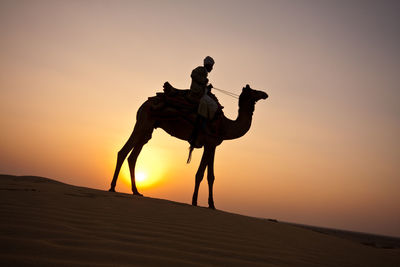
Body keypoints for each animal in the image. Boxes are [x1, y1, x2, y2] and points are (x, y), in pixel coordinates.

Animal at [108, 84, 268, 209]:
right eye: (253, 91)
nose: (265, 94)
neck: (226, 126)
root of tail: (144, 104)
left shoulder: (212, 145)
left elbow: (210, 176)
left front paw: (211, 204)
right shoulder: (210, 142)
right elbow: (201, 174)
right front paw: (196, 201)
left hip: (148, 129)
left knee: (133, 156)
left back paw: (136, 191)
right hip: (143, 122)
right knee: (123, 152)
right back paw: (112, 187)